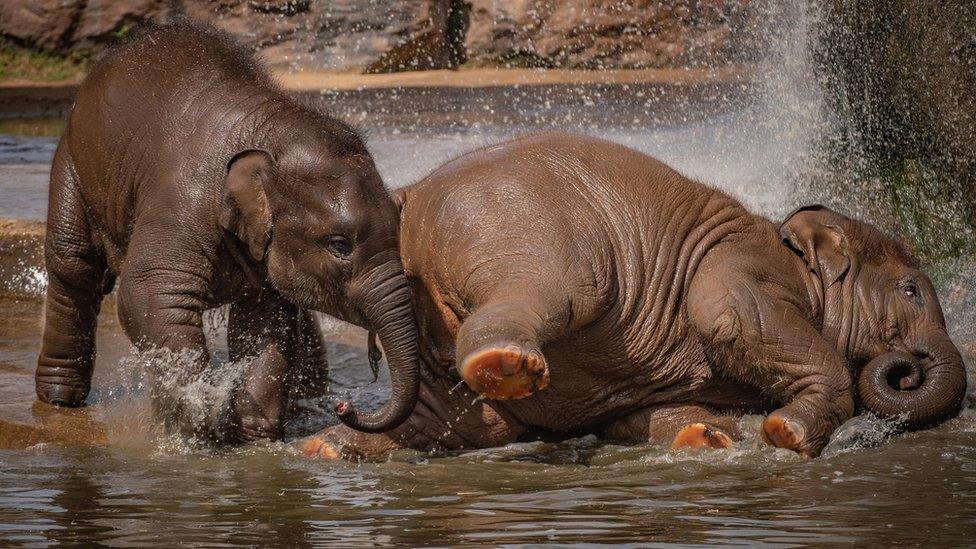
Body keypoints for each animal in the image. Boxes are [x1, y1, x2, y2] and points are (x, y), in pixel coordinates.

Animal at [34, 22, 420, 440]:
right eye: (339, 245)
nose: (344, 406)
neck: (269, 128)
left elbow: (265, 322)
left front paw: (252, 437)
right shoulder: (180, 203)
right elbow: (148, 294)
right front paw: (193, 422)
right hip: (71, 161)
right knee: (75, 267)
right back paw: (60, 399)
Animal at [306, 131, 968, 456]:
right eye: (912, 290)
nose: (904, 367)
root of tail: (407, 199)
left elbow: (641, 414)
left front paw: (704, 438)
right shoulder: (742, 263)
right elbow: (728, 314)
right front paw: (787, 437)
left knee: (460, 421)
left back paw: (327, 450)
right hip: (526, 233)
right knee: (553, 293)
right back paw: (507, 365)